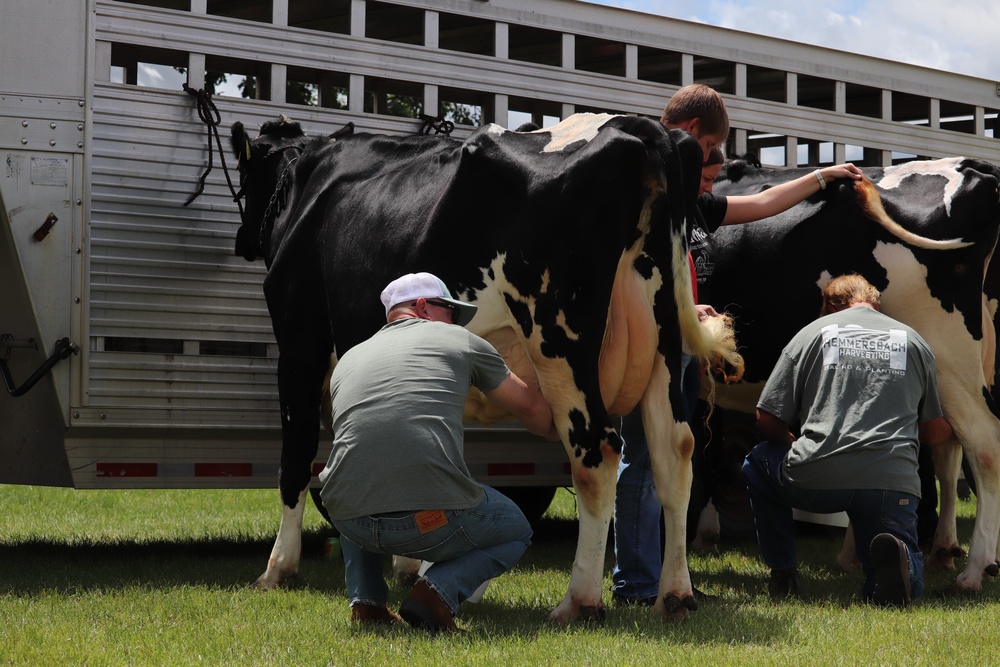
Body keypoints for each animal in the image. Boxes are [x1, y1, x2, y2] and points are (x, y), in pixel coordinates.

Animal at [229, 112, 744, 624]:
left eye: (245, 178)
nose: (241, 242)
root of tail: (639, 128)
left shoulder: (299, 343)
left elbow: (295, 459)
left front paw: (277, 569)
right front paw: (408, 563)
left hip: (559, 340)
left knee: (597, 453)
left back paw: (579, 601)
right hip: (664, 345)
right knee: (674, 451)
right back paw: (675, 595)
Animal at [704, 158, 1000, 596]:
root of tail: (969, 165)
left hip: (949, 354)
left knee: (983, 444)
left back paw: (973, 570)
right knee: (948, 447)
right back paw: (942, 553)